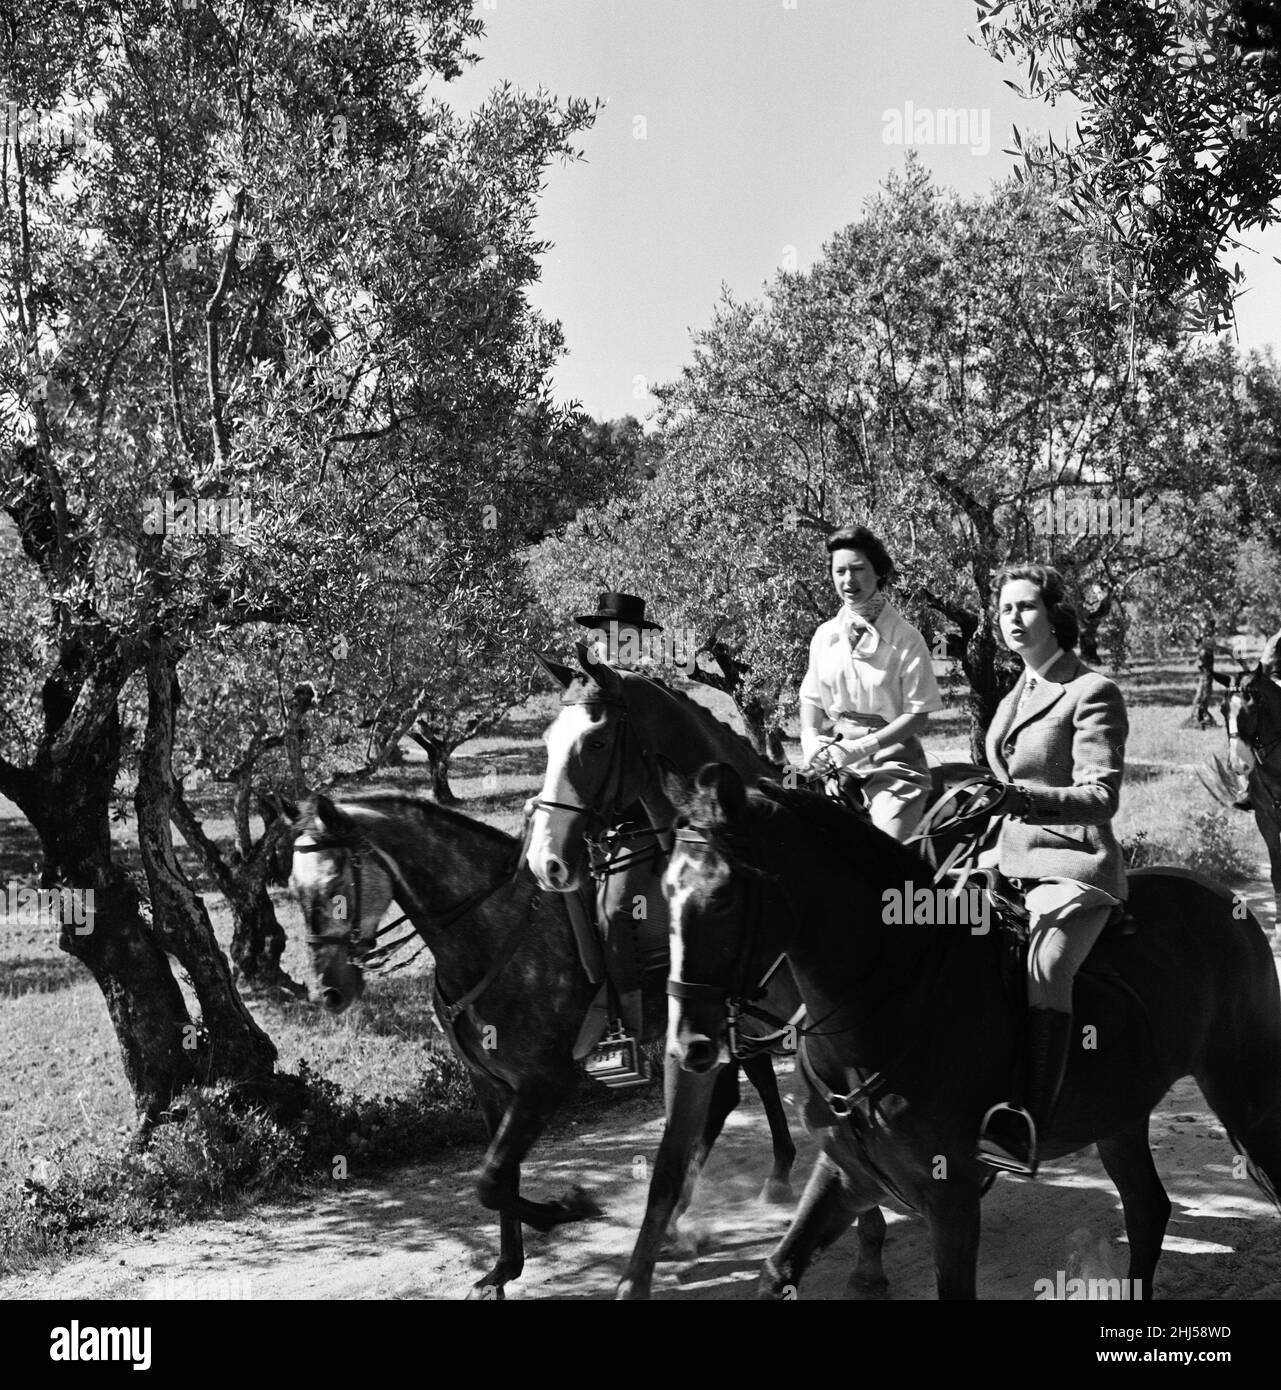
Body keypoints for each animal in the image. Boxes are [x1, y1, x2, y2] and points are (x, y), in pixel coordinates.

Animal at [273, 800, 600, 1295]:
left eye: (333, 888)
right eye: (293, 890)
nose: (327, 992)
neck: (493, 933)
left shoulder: (547, 1082)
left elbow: (490, 1182)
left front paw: (566, 1209)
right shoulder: (491, 1084)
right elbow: (499, 1178)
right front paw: (502, 1269)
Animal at [658, 767, 1278, 1295]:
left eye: (724, 897)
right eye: (665, 891)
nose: (689, 1043)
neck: (890, 1001)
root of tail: (1226, 899)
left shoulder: (950, 1195)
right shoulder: (847, 1174)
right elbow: (778, 1269)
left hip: (1243, 1095)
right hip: (1119, 1117)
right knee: (1148, 1209)